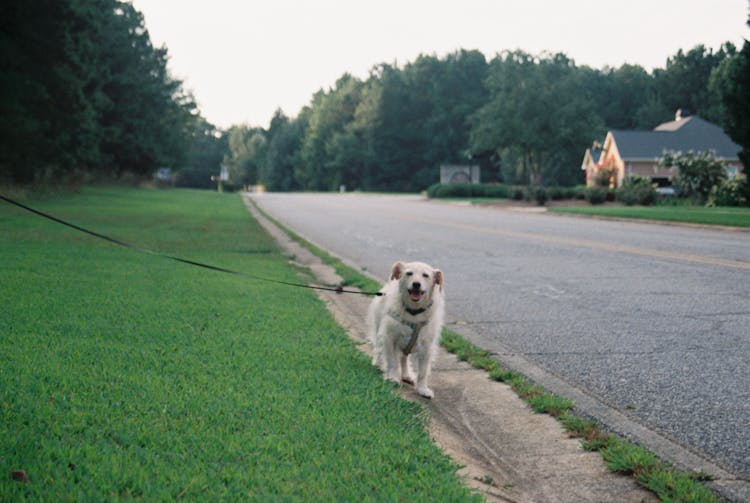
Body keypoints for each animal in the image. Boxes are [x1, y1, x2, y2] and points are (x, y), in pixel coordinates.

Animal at [368, 262, 446, 400]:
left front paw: (422, 389)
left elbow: (423, 371)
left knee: (404, 358)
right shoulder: (389, 338)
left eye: (425, 275)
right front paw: (393, 377)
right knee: (379, 348)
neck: (414, 312)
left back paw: (406, 375)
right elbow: (392, 361)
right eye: (409, 273)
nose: (416, 284)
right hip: (378, 331)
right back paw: (378, 363)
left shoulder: (427, 347)